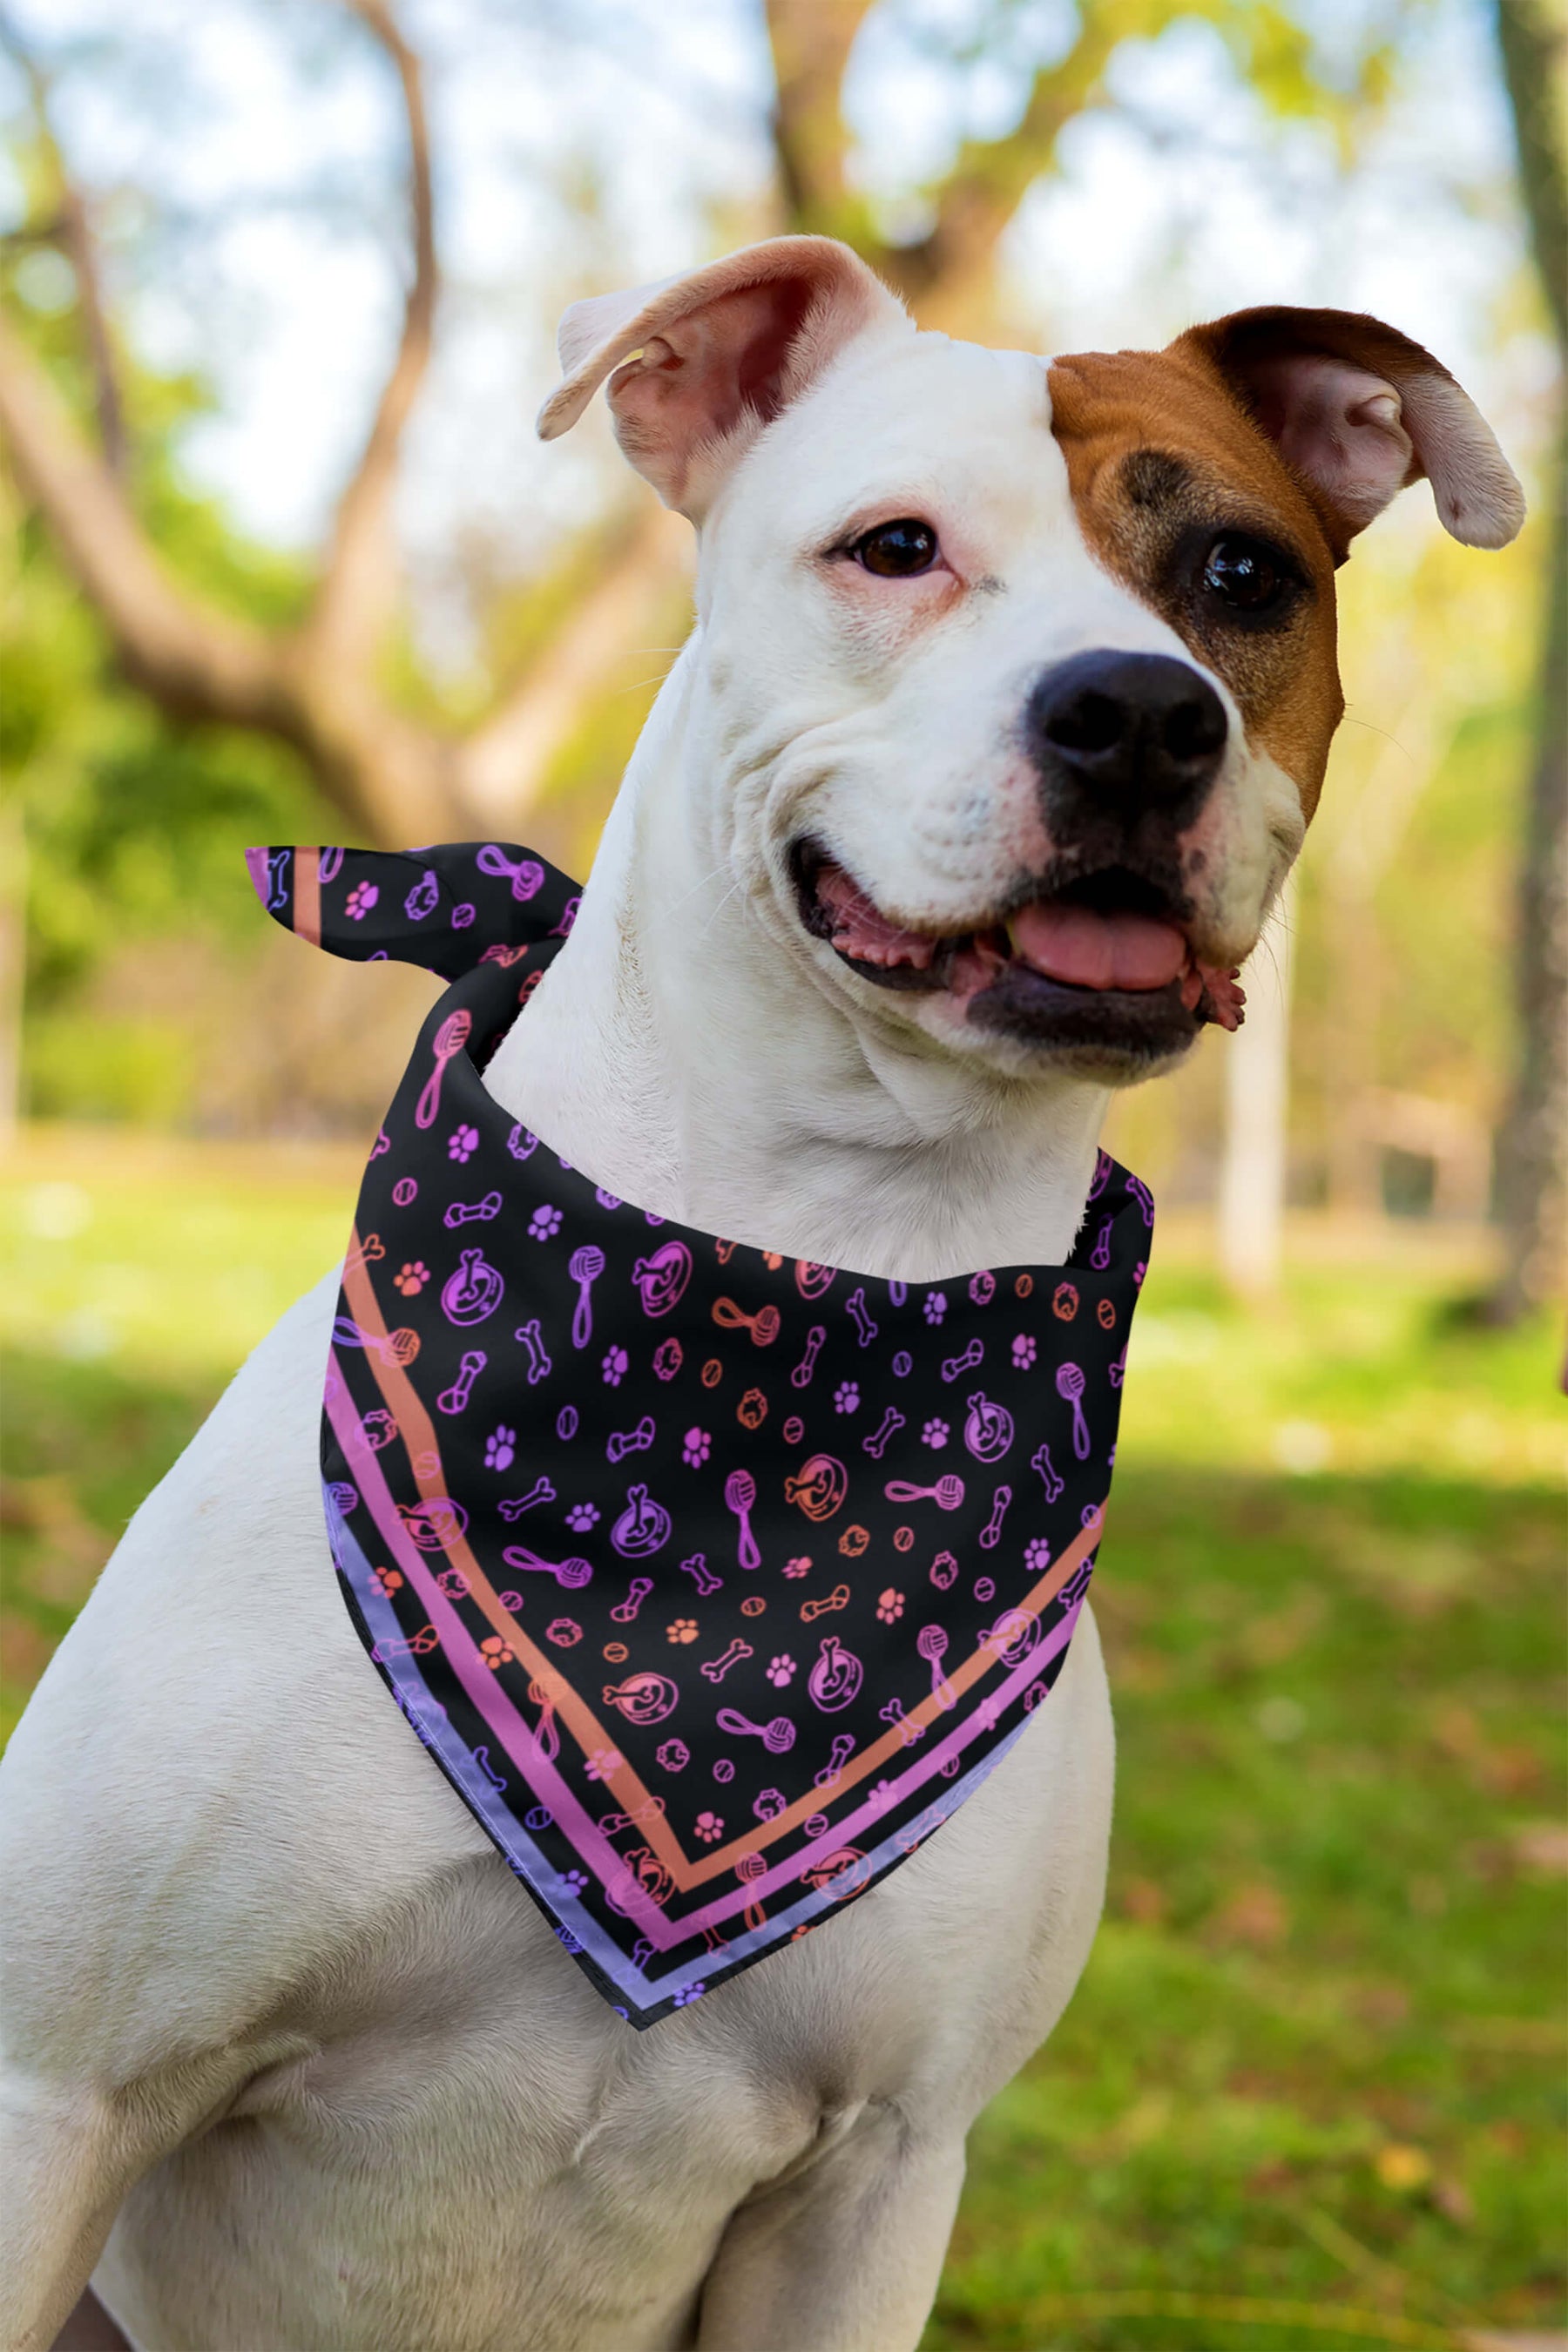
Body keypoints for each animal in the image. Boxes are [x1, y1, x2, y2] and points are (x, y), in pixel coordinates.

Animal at [0, 233, 1523, 2352]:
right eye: (893, 547)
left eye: (1240, 574)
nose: (1143, 714)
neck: (809, 1282)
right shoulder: (65, 2089)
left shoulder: (879, 2172)